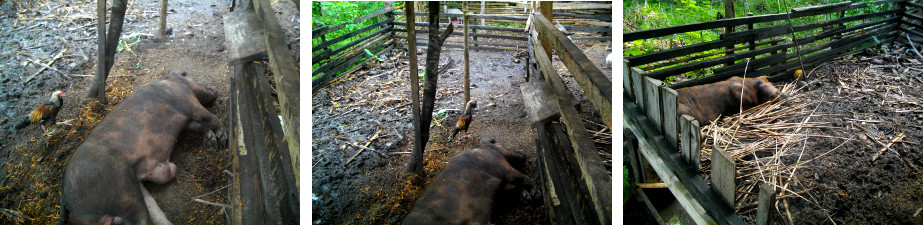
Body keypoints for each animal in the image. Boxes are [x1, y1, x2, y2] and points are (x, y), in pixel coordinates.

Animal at [61, 70, 226, 225]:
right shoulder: (188, 103)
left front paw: (211, 140)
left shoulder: (188, 121)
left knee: (152, 210)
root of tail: (66, 198)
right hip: (122, 189)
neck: (172, 80)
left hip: (135, 187)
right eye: (190, 76)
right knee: (139, 218)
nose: (215, 89)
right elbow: (212, 118)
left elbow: (201, 125)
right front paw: (222, 139)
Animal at [400, 138, 536, 224]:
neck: (483, 148)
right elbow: (524, 178)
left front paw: (526, 197)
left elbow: (510, 188)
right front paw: (536, 194)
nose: (523, 151)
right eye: (499, 143)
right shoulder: (500, 166)